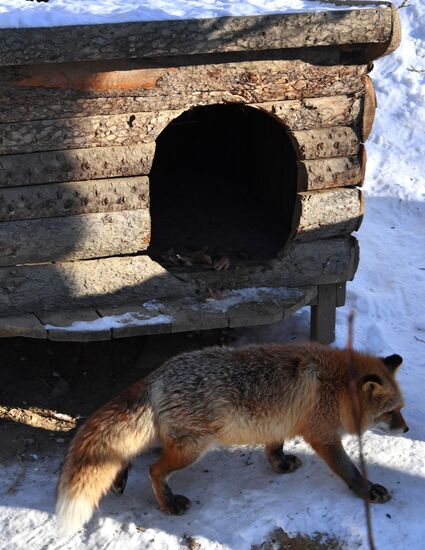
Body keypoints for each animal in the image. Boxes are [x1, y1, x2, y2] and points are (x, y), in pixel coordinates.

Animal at [56, 342, 408, 536]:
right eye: (391, 413)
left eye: (401, 410)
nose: (406, 430)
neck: (335, 386)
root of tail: (158, 374)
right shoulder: (323, 435)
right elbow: (350, 470)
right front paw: (368, 490)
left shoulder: (278, 422)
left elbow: (274, 447)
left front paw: (280, 464)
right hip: (191, 448)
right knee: (154, 470)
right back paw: (168, 503)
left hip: (175, 440)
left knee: (129, 453)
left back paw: (121, 478)